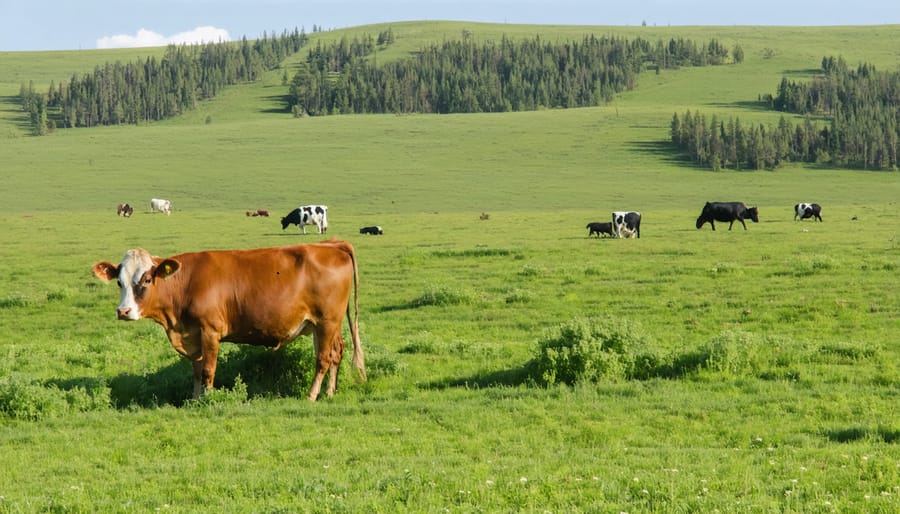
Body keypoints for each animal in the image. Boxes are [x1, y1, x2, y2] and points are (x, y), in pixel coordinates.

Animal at [93, 240, 368, 400]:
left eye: (147, 279)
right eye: (119, 282)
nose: (123, 311)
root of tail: (331, 244)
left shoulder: (209, 330)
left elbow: (208, 369)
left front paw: (208, 400)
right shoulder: (192, 334)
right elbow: (196, 370)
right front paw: (195, 399)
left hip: (327, 321)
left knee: (323, 359)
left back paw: (312, 395)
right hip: (324, 325)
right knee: (336, 353)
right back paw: (330, 393)